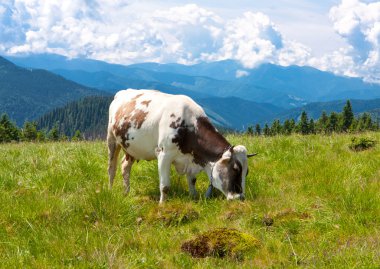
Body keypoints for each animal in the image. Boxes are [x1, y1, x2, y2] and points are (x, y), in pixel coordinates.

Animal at [107, 89, 255, 202]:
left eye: (247, 172)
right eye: (235, 169)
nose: (240, 198)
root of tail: (123, 92)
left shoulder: (192, 160)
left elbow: (192, 181)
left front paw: (193, 198)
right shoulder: (163, 154)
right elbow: (165, 186)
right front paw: (162, 205)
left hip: (130, 147)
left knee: (125, 166)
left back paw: (126, 192)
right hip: (112, 139)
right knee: (112, 168)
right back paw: (110, 190)